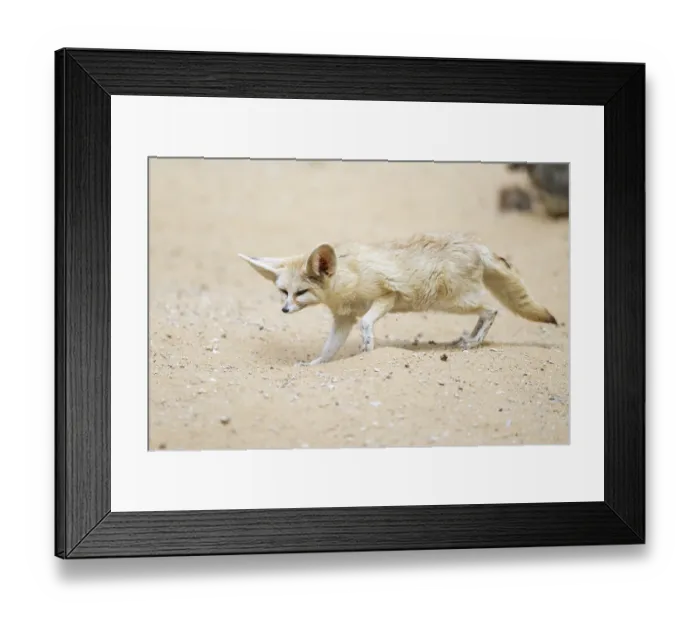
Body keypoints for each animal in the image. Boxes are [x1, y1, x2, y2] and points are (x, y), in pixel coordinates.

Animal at [238, 233, 557, 366]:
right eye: (284, 292)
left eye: (301, 293)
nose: (284, 309)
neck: (345, 279)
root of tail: (477, 245)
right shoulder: (343, 319)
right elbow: (329, 349)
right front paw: (316, 365)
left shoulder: (386, 297)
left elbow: (367, 323)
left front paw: (368, 346)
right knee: (486, 312)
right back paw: (468, 339)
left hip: (453, 303)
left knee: (491, 310)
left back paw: (474, 342)